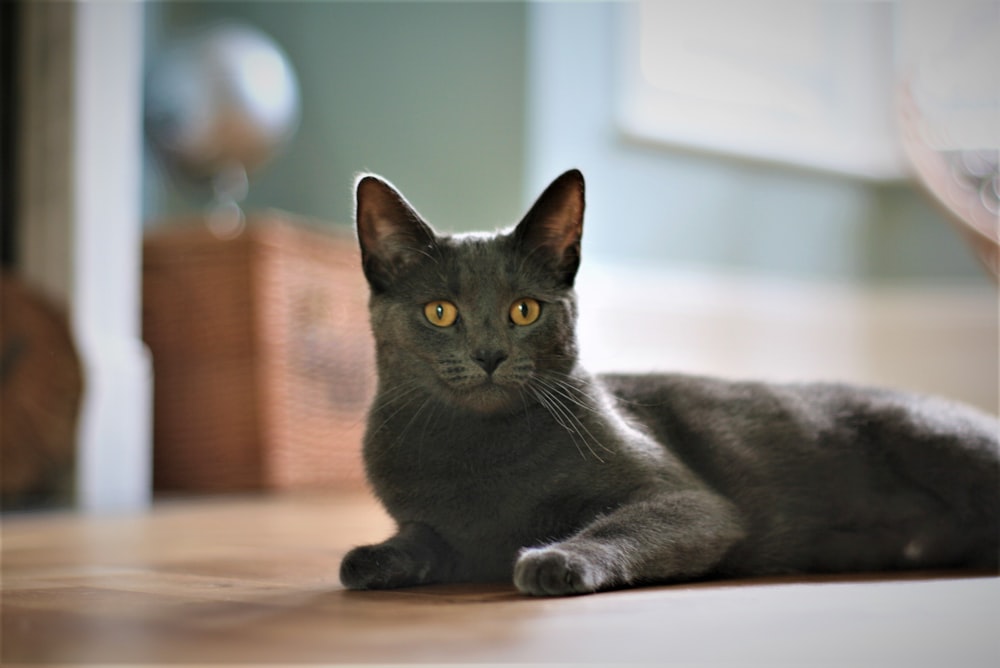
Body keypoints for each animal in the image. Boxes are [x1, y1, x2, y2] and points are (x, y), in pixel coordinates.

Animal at [340, 167, 996, 596]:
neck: (480, 452)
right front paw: (371, 559)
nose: (489, 355)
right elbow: (422, 540)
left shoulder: (691, 503)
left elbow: (627, 523)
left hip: (936, 436)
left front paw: (554, 559)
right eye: (440, 312)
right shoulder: (434, 525)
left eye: (524, 310)